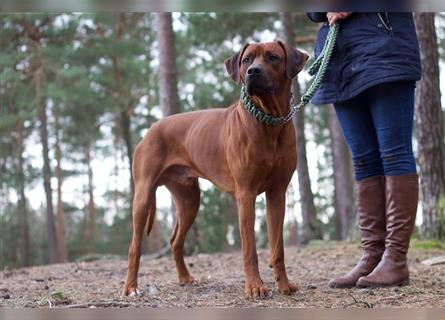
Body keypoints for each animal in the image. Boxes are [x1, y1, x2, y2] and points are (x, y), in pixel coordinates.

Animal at [121, 40, 308, 300]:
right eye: (246, 60)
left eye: (272, 57)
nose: (253, 72)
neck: (269, 121)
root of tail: (151, 129)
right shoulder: (245, 195)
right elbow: (250, 250)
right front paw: (255, 286)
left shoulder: (278, 193)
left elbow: (277, 247)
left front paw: (284, 285)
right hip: (143, 195)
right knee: (134, 246)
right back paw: (130, 287)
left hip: (189, 199)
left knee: (175, 240)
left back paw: (185, 278)